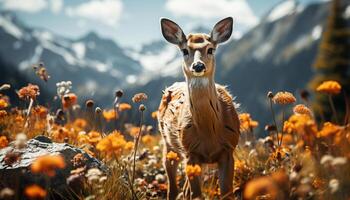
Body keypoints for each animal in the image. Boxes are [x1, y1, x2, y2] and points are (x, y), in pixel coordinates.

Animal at [159, 17, 241, 200]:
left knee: (184, 189)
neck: (210, 132)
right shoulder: (191, 152)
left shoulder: (228, 150)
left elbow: (227, 192)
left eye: (210, 49)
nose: (198, 66)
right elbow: (196, 194)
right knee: (173, 186)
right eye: (184, 50)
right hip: (170, 145)